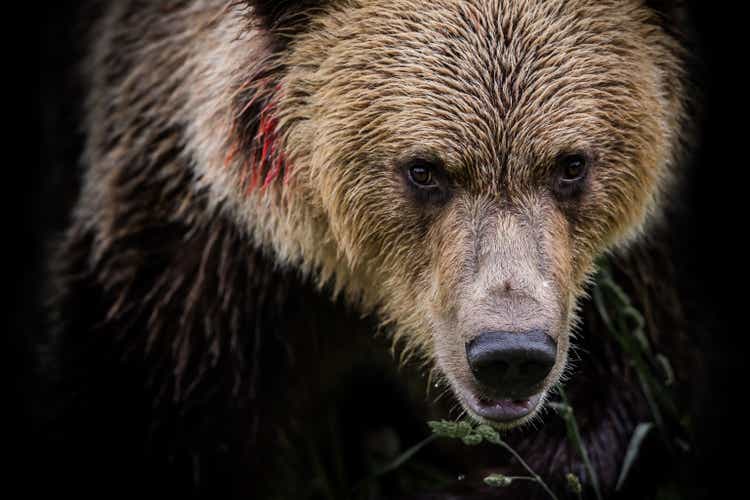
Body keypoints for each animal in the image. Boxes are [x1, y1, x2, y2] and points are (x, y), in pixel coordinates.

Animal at [38, 0, 700, 500]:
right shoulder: (203, 272)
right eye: (423, 170)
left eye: (571, 164)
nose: (510, 353)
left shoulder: (618, 287)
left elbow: (608, 424)